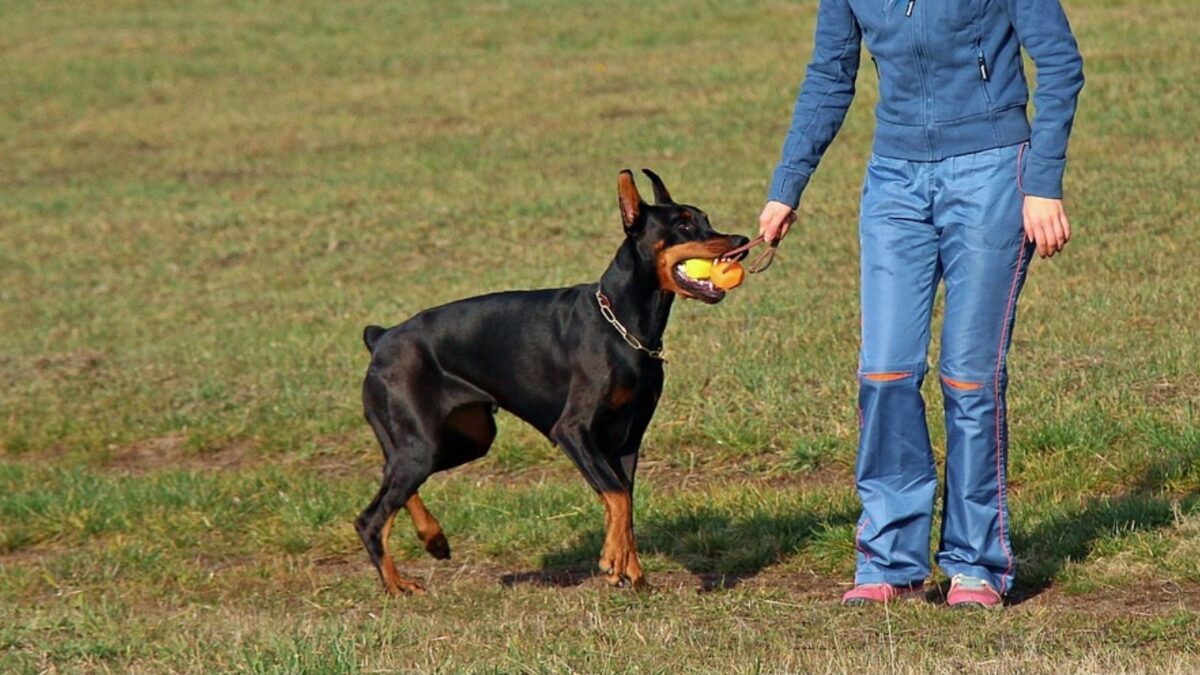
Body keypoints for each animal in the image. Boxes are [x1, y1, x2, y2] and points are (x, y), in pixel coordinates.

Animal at [355, 168, 748, 588]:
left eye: (705, 219)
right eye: (683, 224)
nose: (741, 243)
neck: (623, 326)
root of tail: (382, 337)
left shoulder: (627, 438)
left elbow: (624, 502)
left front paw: (631, 572)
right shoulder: (573, 431)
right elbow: (617, 497)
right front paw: (612, 559)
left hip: (465, 440)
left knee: (392, 476)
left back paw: (433, 538)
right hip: (423, 443)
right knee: (370, 518)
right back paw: (398, 586)